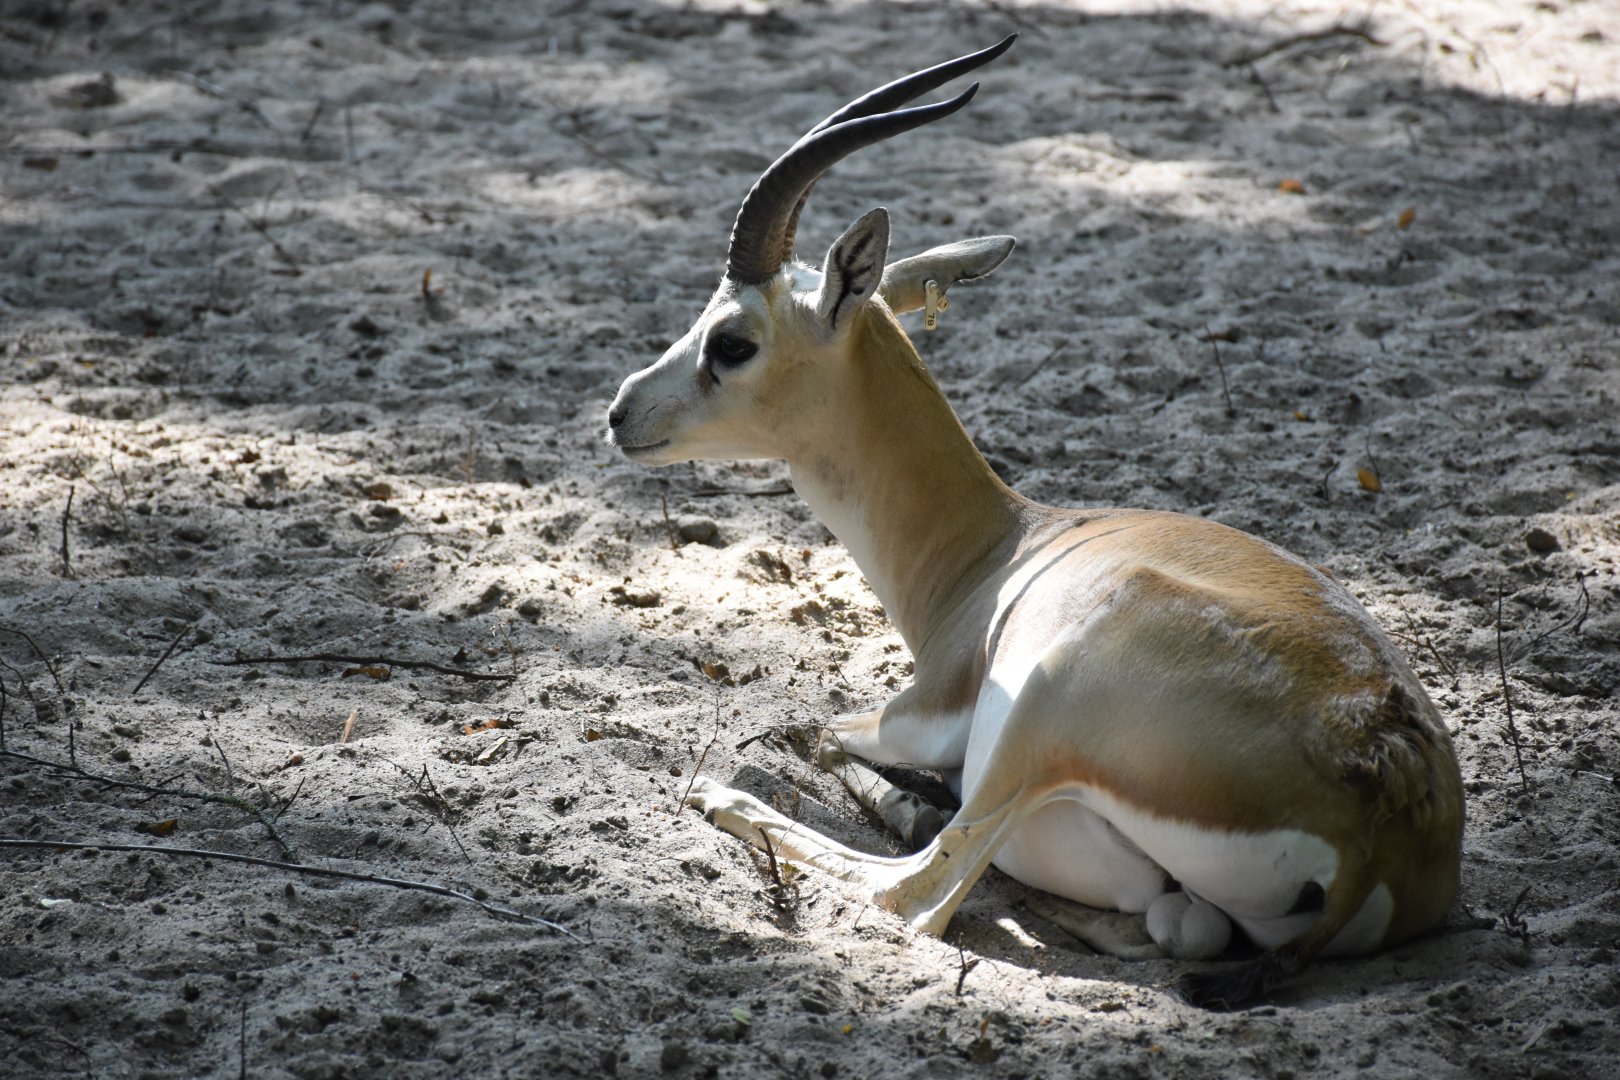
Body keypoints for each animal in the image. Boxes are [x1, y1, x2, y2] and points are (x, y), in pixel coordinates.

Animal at [604, 36, 1463, 1008]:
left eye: (732, 341)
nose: (621, 412)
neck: (1002, 552)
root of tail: (1384, 794)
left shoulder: (919, 712)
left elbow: (811, 725)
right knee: (1172, 922)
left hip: (1039, 717)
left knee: (917, 894)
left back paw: (731, 797)